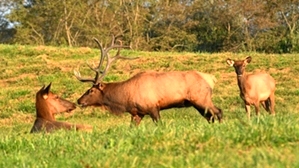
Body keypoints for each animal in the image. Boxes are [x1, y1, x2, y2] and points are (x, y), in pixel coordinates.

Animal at [73, 36, 223, 125]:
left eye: (91, 90)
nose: (79, 101)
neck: (125, 99)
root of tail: (211, 79)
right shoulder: (137, 113)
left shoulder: (152, 107)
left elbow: (159, 124)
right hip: (198, 102)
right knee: (210, 117)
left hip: (201, 98)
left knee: (218, 112)